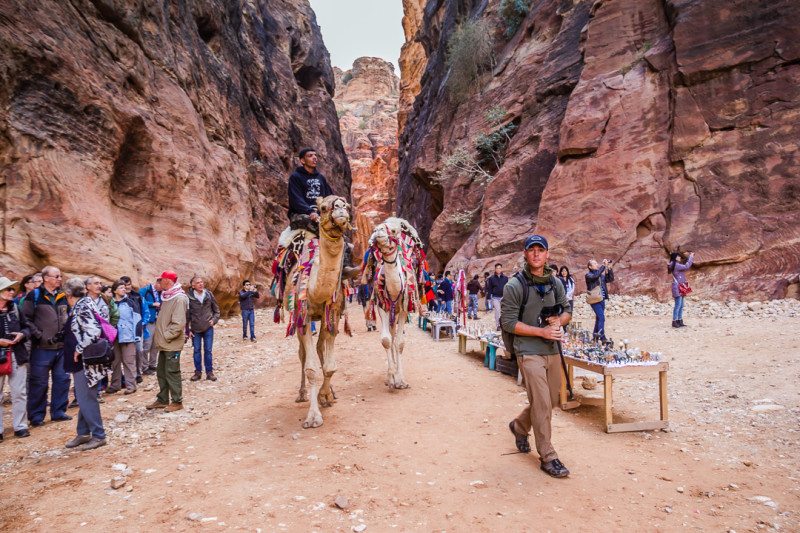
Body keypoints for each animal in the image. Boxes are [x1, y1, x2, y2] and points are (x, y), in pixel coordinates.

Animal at [278, 195, 350, 428]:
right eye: (323, 208)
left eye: (347, 205)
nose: (341, 210)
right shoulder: (303, 316)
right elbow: (310, 368)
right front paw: (313, 417)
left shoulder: (332, 315)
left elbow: (329, 366)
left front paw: (325, 396)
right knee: (302, 354)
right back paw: (301, 394)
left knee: (319, 348)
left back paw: (330, 393)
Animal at [362, 218, 424, 388]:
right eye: (377, 227)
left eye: (395, 230)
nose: (377, 231)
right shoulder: (382, 306)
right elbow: (386, 340)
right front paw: (391, 378)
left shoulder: (404, 308)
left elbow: (400, 343)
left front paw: (400, 380)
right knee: (391, 333)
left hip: (396, 312)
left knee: (395, 334)